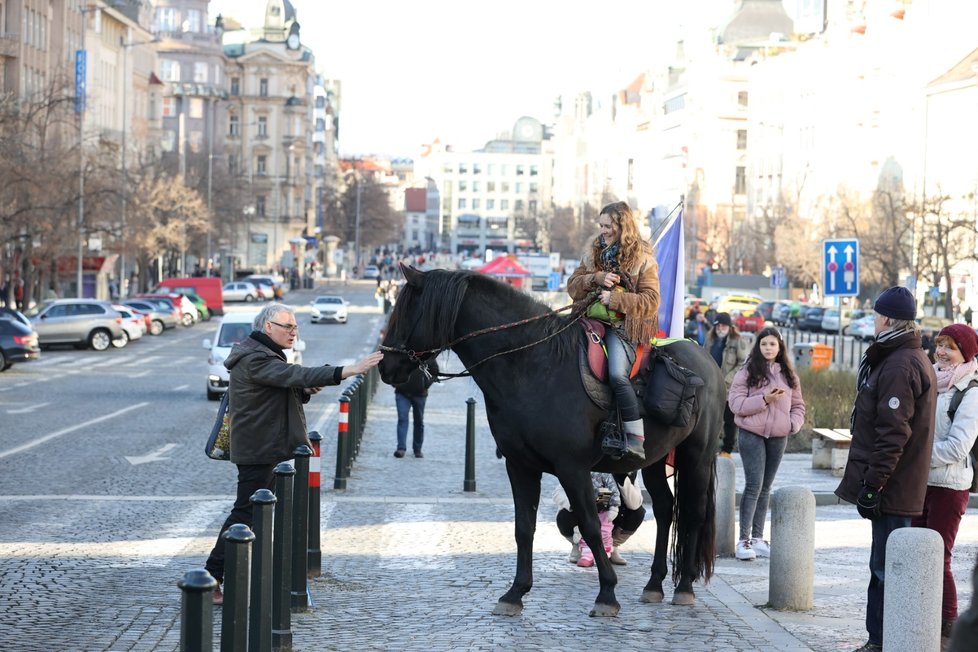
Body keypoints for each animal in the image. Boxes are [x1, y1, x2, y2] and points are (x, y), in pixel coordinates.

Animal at [378, 266, 720, 616]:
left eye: (406, 312)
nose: (384, 366)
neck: (534, 364)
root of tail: (705, 358)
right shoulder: (520, 466)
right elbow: (524, 528)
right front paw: (515, 593)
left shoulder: (572, 468)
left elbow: (590, 526)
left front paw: (607, 593)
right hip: (655, 457)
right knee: (665, 508)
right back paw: (654, 584)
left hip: (697, 455)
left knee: (693, 512)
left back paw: (684, 587)